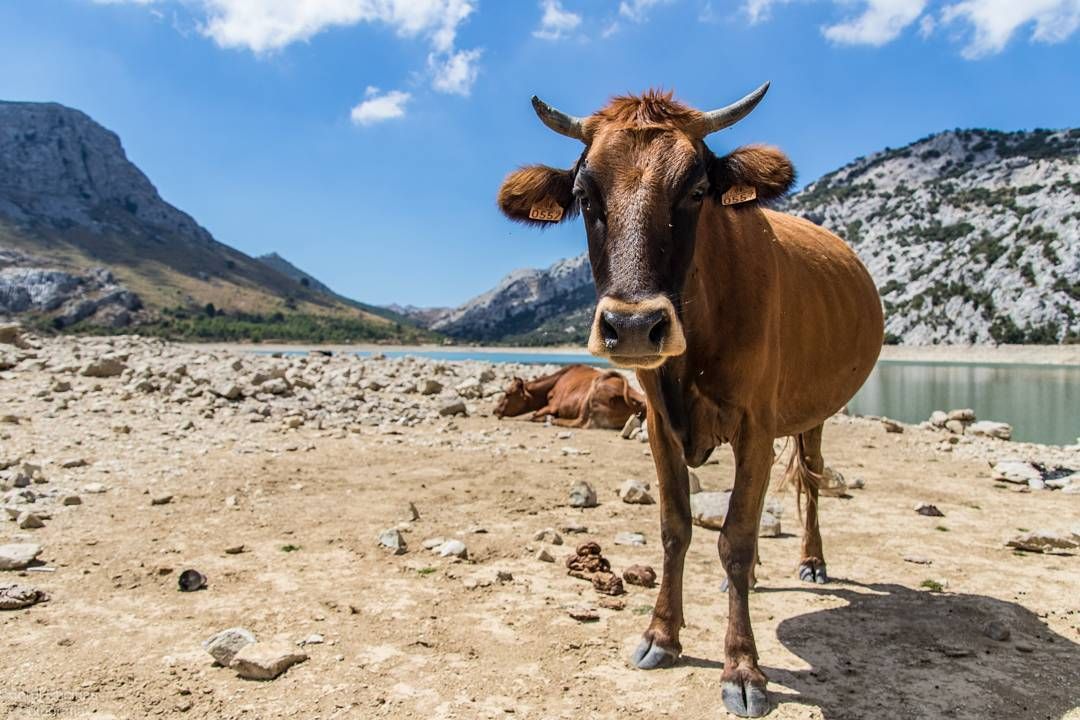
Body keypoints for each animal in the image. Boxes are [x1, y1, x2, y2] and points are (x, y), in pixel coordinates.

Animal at [494, 364, 646, 429]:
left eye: (507, 393)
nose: (494, 410)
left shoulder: (553, 405)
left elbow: (534, 414)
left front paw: (545, 417)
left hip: (592, 395)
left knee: (582, 423)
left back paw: (556, 420)